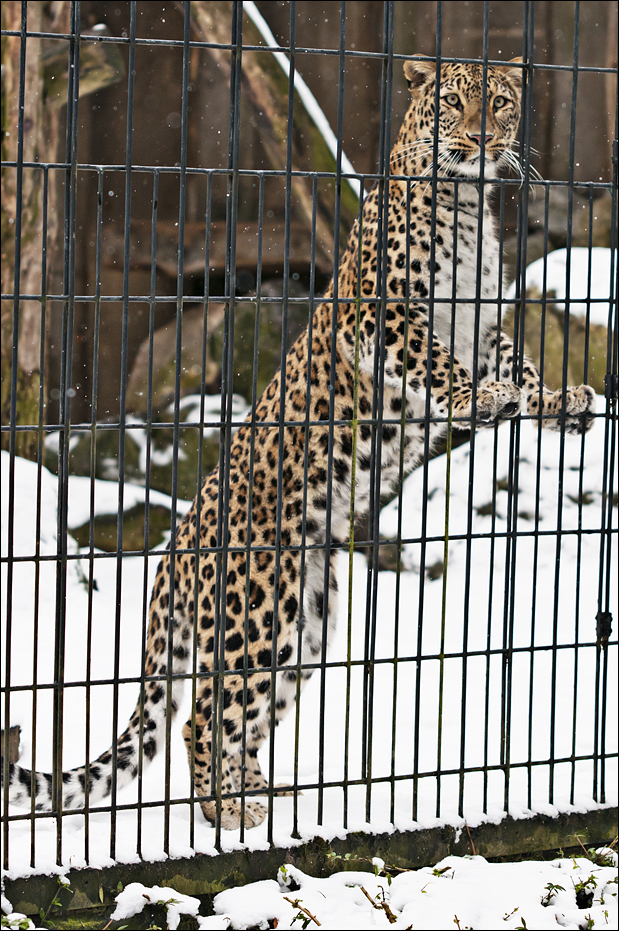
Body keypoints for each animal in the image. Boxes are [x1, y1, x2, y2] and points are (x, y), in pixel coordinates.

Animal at [6, 57, 596, 831]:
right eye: (450, 102)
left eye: (497, 103)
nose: (478, 139)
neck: (469, 206)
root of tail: (172, 555)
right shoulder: (379, 316)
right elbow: (440, 364)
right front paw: (478, 399)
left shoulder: (486, 326)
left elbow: (522, 366)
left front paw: (560, 403)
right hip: (257, 613)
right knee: (201, 717)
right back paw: (225, 814)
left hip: (307, 622)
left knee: (244, 720)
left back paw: (259, 794)